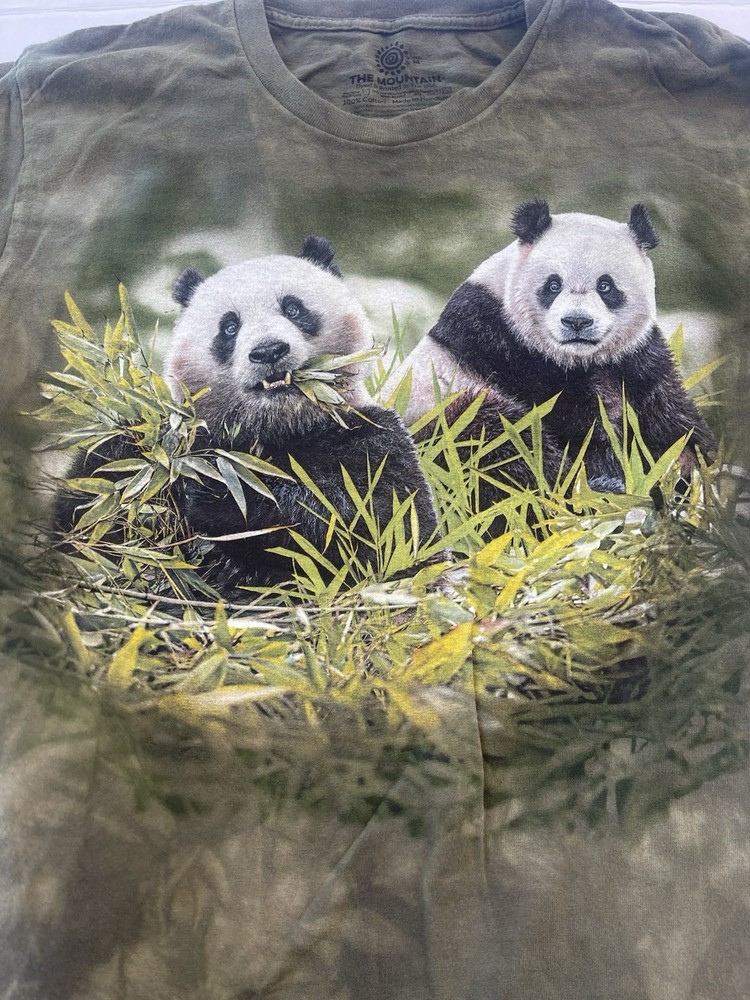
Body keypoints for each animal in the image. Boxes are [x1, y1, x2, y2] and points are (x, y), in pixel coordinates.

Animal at [54, 237, 438, 592]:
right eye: (229, 327)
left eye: (293, 309)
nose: (268, 350)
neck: (277, 427)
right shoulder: (197, 436)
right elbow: (85, 515)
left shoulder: (370, 437)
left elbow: (377, 530)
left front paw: (221, 494)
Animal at [384, 200, 715, 494]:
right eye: (553, 285)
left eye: (605, 286)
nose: (577, 321)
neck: (582, 358)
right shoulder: (503, 345)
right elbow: (573, 423)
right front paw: (611, 472)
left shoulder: (636, 357)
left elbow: (670, 417)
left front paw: (689, 470)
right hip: (435, 418)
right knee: (493, 444)